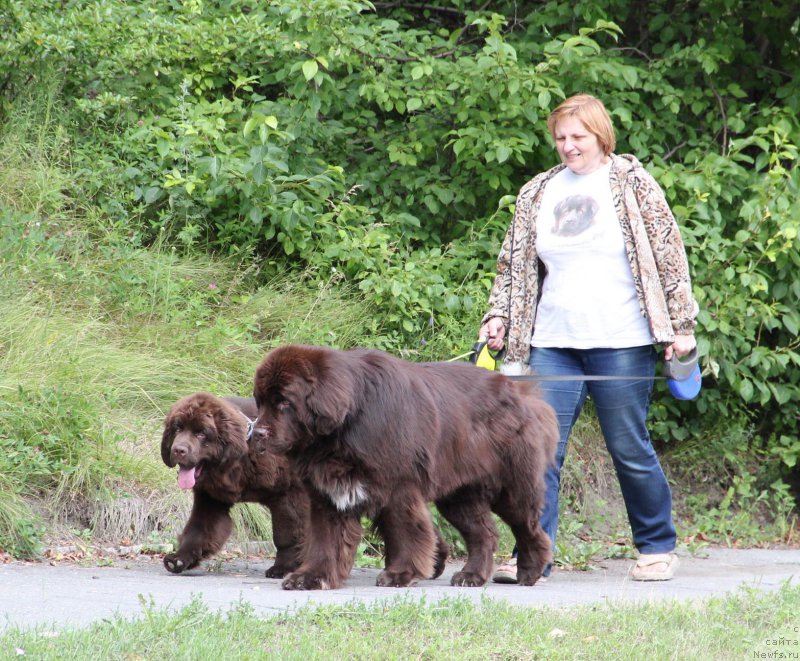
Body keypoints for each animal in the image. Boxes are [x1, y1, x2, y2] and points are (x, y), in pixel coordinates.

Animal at [161, 392, 308, 576]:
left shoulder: (289, 494)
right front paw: (179, 559)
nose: (178, 450)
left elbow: (287, 534)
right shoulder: (210, 497)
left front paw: (283, 567)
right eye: (178, 429)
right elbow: (199, 528)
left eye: (201, 433)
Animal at [252, 346, 556, 588]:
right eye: (260, 401)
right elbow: (324, 541)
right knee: (484, 533)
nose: (257, 433)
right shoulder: (328, 495)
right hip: (459, 496)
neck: (349, 421)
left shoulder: (399, 489)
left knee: (529, 528)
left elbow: (406, 532)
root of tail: (520, 394)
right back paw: (472, 575)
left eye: (284, 403)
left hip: (511, 488)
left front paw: (401, 574)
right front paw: (311, 577)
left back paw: (529, 572)